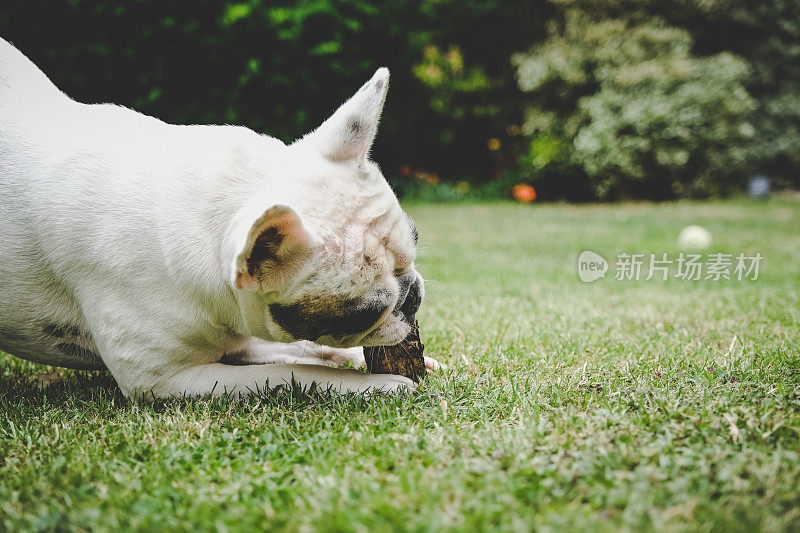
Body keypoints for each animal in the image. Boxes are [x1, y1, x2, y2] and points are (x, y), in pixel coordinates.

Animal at [0, 38, 438, 400]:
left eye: (416, 239)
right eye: (362, 313)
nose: (413, 295)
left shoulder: (238, 334)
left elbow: (301, 349)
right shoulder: (166, 379)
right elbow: (296, 374)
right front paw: (376, 383)